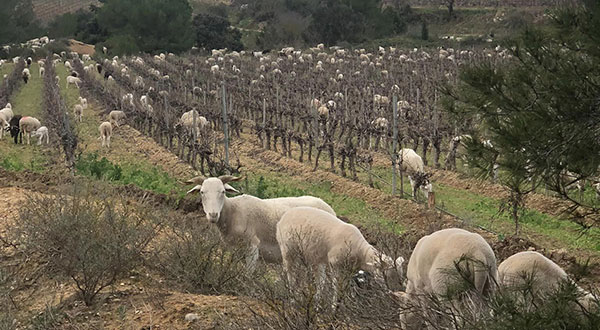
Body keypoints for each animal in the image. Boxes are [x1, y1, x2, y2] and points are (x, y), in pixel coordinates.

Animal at [186, 175, 336, 270]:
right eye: (202, 192)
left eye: (222, 192)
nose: (213, 215)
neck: (234, 212)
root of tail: (329, 208)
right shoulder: (236, 251)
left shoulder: (252, 246)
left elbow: (248, 274)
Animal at [276, 209, 404, 294]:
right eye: (386, 275)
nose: (395, 292)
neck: (360, 252)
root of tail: (282, 219)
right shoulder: (335, 264)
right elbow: (337, 288)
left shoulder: (349, 270)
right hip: (288, 250)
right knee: (290, 274)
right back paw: (292, 295)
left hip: (312, 256)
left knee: (316, 280)